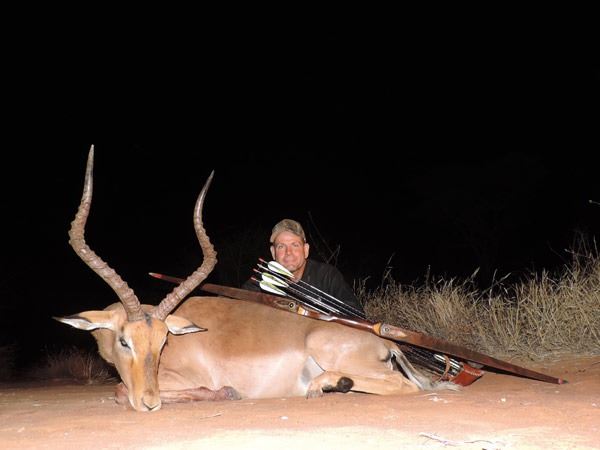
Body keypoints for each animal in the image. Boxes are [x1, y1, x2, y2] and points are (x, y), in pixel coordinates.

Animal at [56, 146, 456, 411]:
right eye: (125, 341)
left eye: (163, 340)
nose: (151, 402)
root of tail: (387, 343)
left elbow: (121, 391)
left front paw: (223, 393)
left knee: (404, 386)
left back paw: (324, 385)